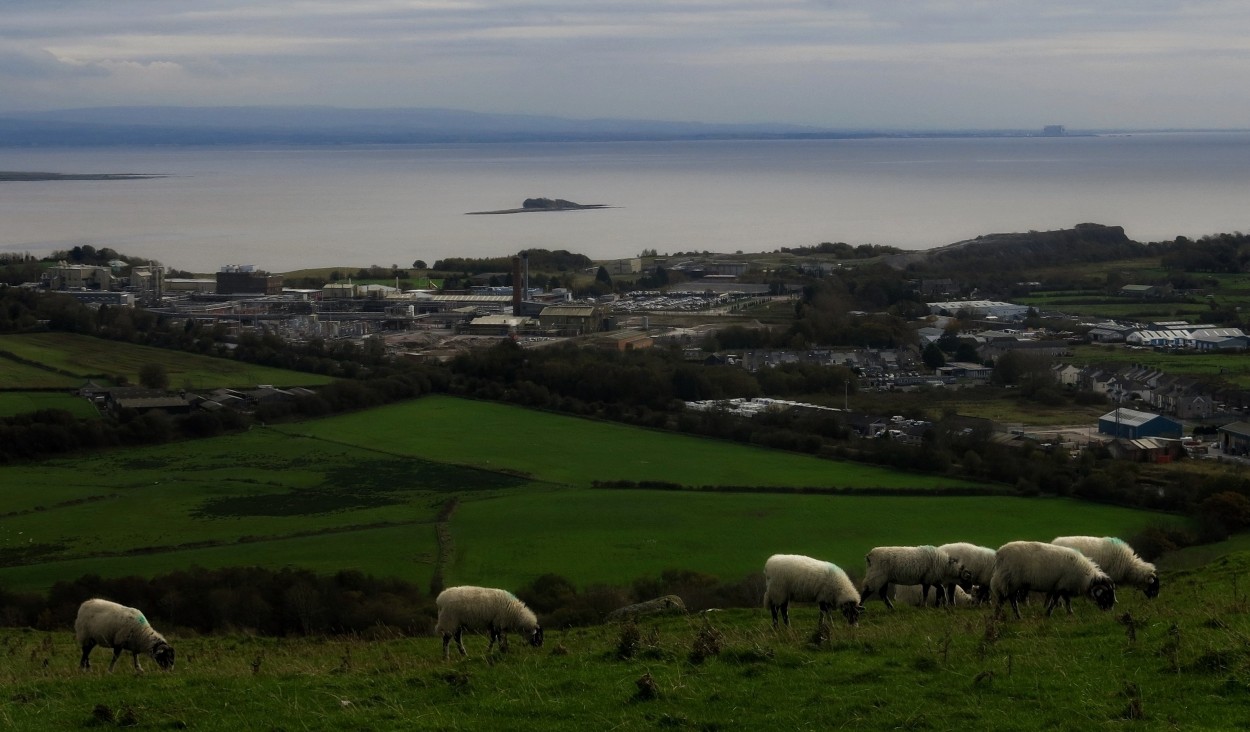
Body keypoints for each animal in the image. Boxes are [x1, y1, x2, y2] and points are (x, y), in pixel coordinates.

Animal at [990, 534, 1120, 614]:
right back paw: (1011, 616)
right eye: (1106, 595)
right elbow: (1054, 602)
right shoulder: (1061, 585)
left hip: (1012, 582)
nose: (1110, 609)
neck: (1086, 577)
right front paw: (1048, 614)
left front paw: (1070, 613)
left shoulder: (1064, 586)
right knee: (1008, 600)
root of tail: (1000, 553)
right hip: (1011, 580)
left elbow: (1067, 601)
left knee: (1006, 599)